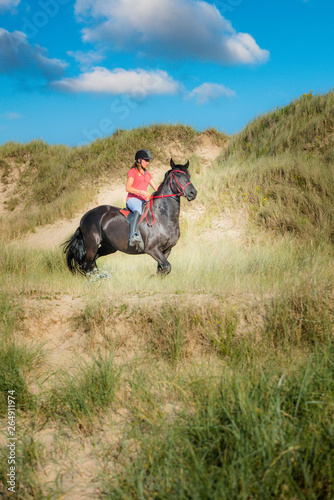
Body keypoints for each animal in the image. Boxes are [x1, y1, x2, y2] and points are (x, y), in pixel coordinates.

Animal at [62, 159, 197, 276]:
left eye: (188, 175)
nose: (193, 193)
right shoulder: (152, 249)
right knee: (87, 266)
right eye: (178, 176)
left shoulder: (167, 249)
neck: (162, 218)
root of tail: (84, 217)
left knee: (93, 262)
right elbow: (167, 267)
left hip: (109, 246)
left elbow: (162, 269)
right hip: (92, 245)